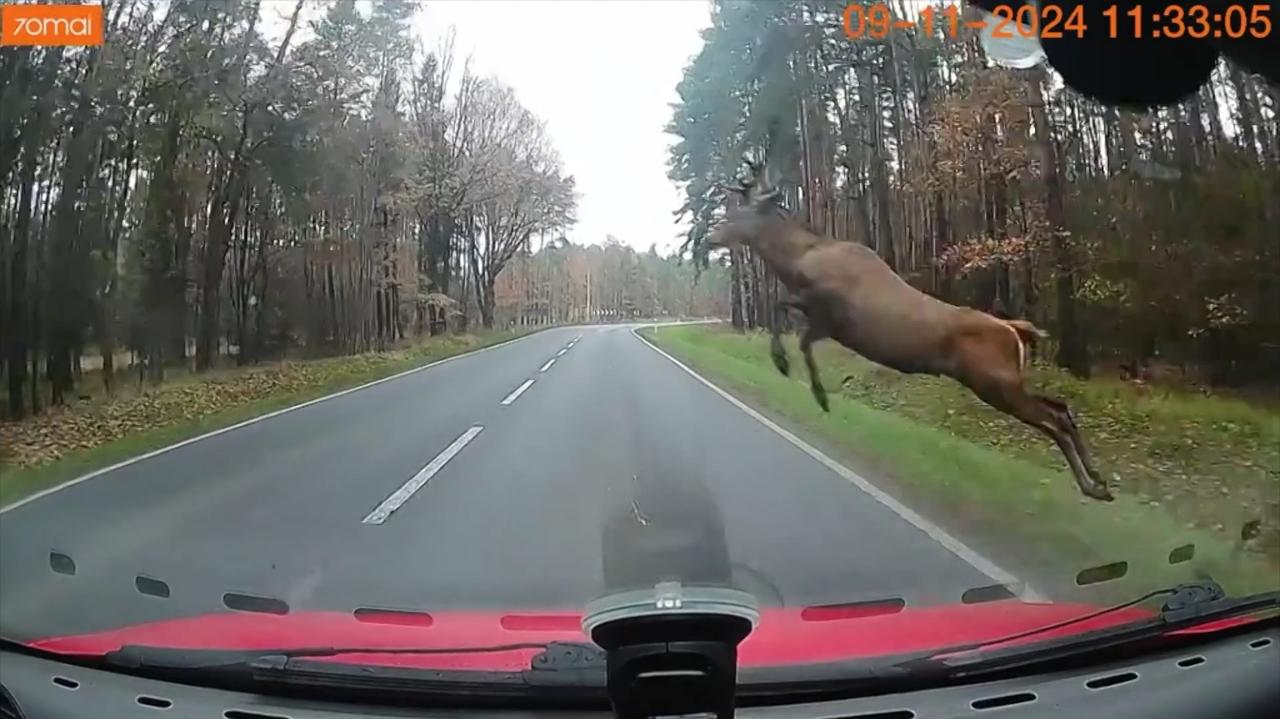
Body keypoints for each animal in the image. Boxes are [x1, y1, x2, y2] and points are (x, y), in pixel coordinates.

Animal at [706, 163, 1116, 501]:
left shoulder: (832, 316)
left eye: (740, 211)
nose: (710, 236)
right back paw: (1098, 481)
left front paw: (806, 383)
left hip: (994, 382)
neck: (797, 261)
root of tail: (1014, 329)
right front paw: (791, 370)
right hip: (1004, 381)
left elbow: (791, 325)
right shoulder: (823, 317)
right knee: (1060, 408)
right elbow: (783, 315)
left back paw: (1093, 484)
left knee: (1053, 419)